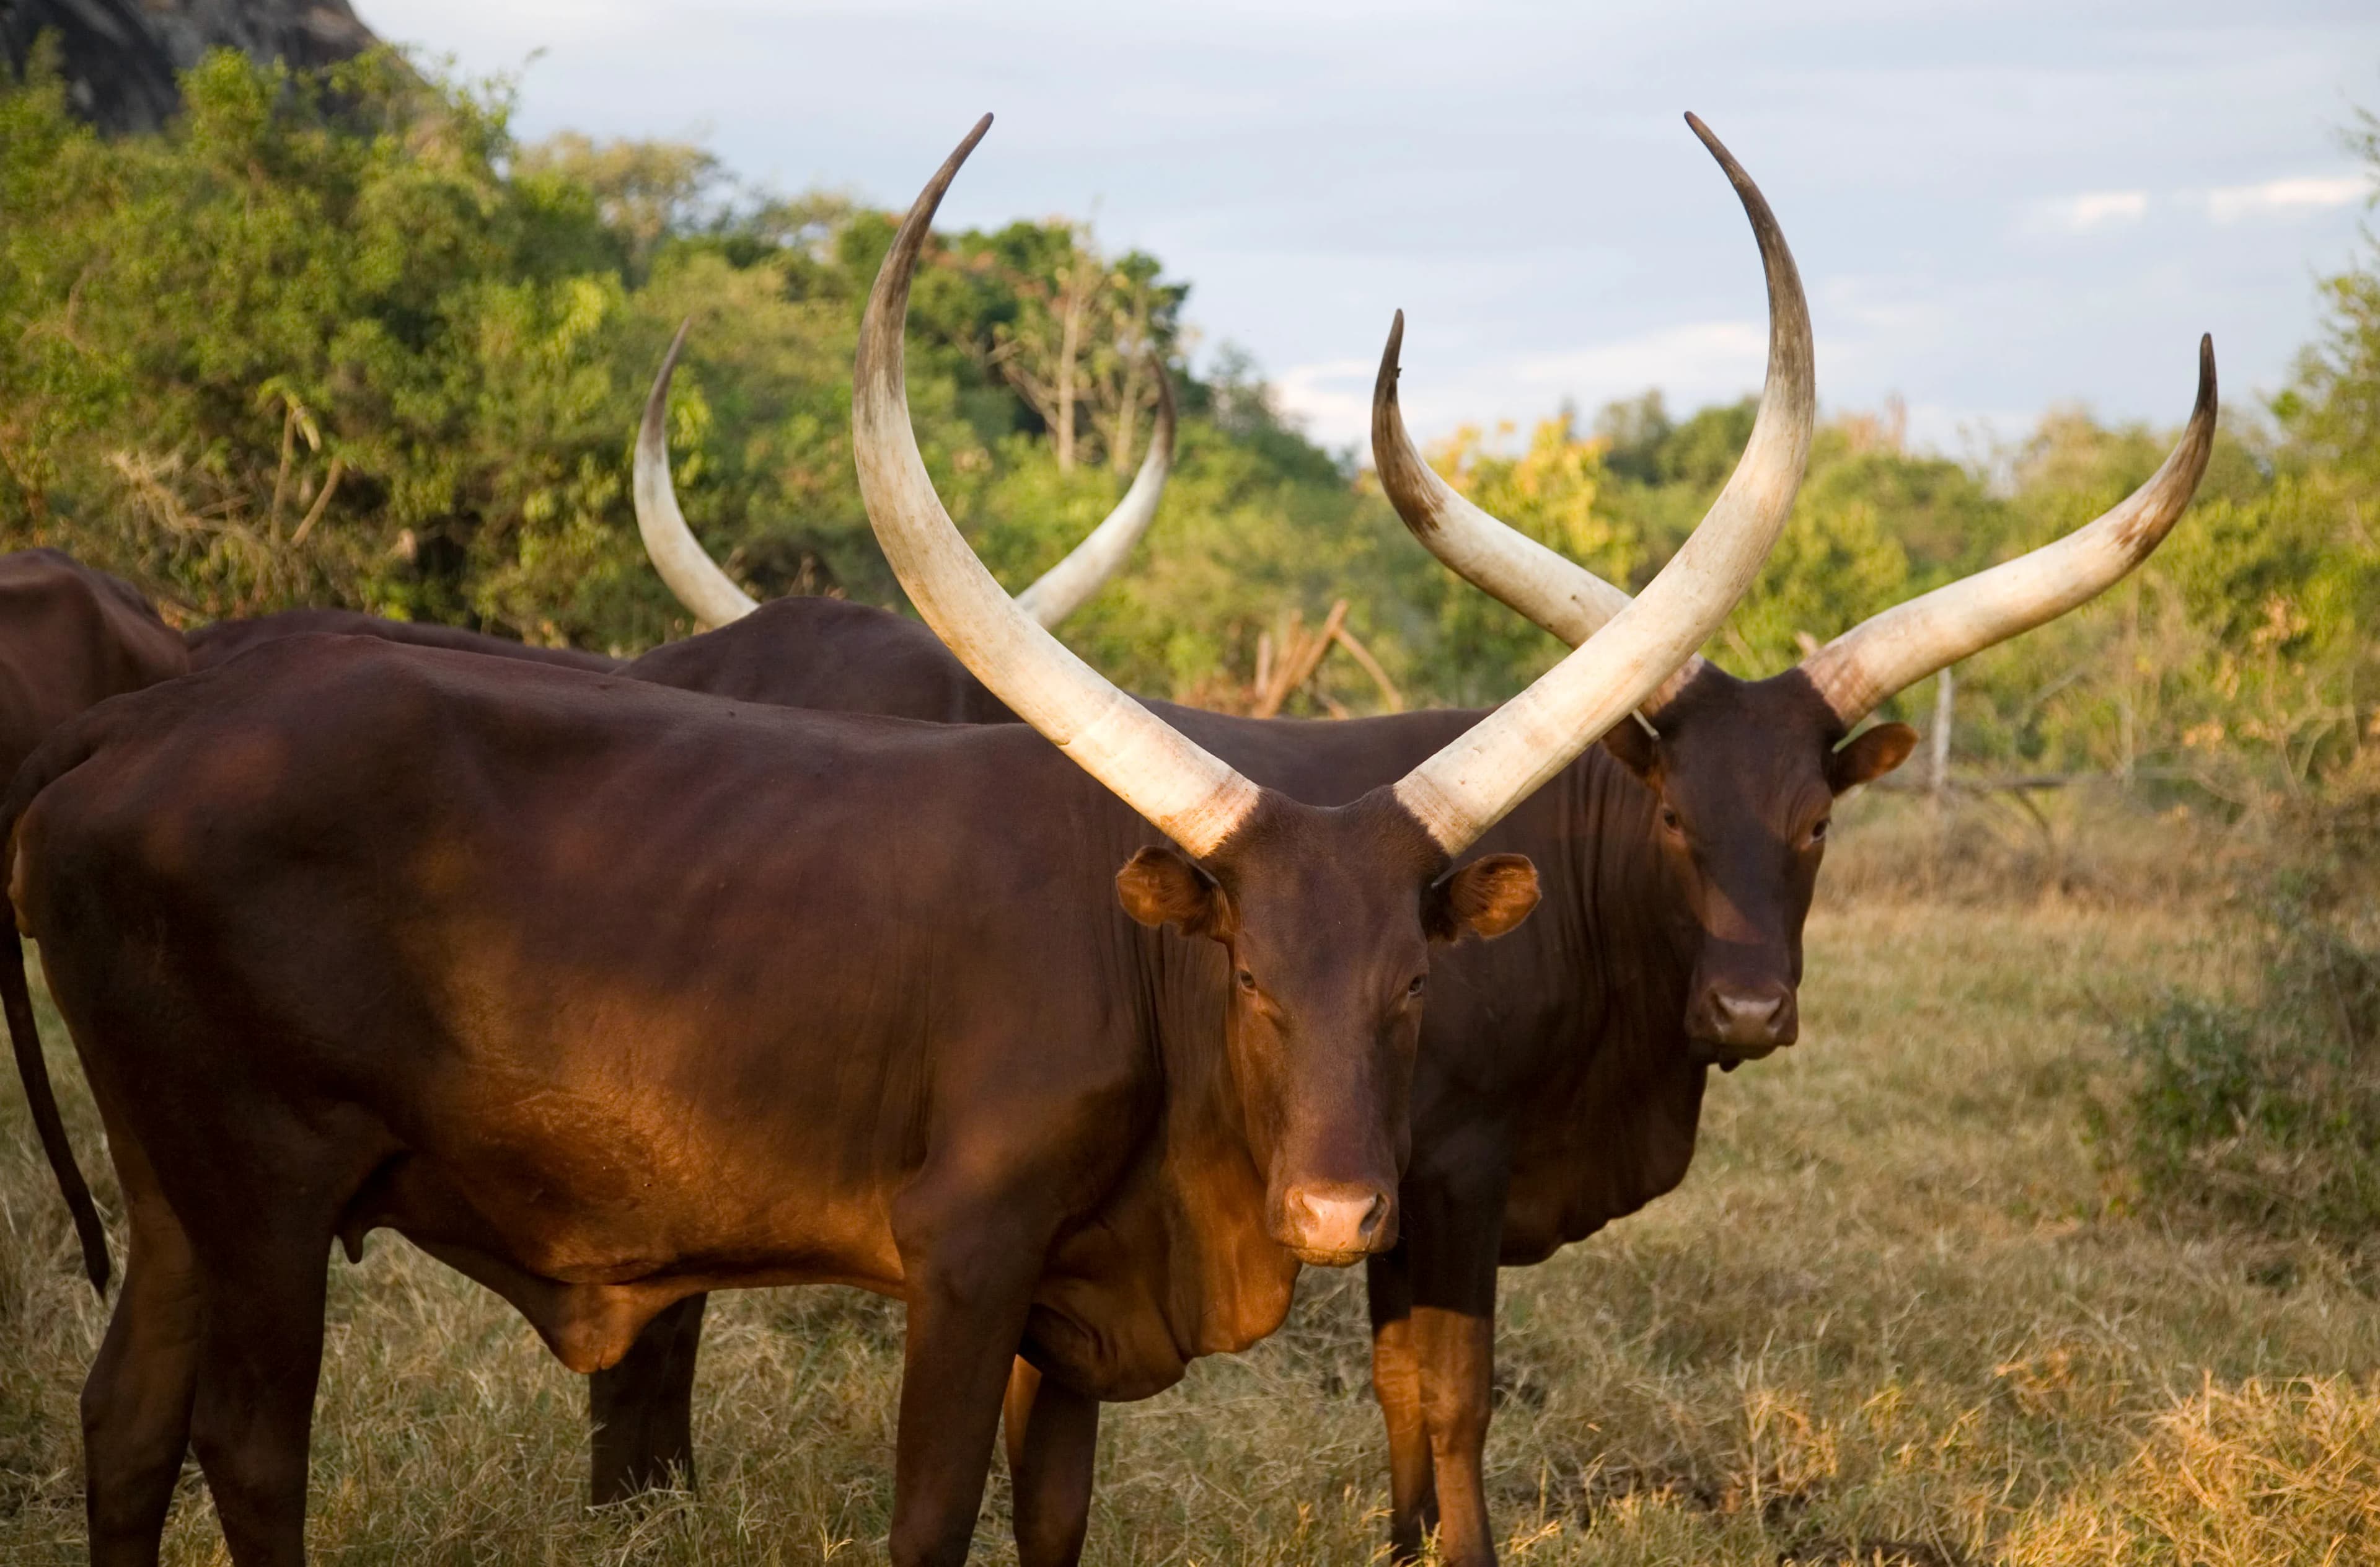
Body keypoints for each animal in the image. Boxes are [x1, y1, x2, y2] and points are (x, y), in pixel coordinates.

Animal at [2, 115, 1798, 1567]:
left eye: (1411, 991)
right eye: (1256, 983)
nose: (1346, 1215)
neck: (1138, 969)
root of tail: (145, 727)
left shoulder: (1070, 1313)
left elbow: (1056, 1520)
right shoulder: (965, 1260)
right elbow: (934, 1520)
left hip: (173, 1192)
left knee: (125, 1419)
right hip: (264, 1187)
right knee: (249, 1450)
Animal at [609, 124, 2218, 1566]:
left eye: (1817, 823)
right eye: (1676, 817)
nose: (1750, 1006)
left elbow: (1399, 1395)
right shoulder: (1441, 1169)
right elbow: (1446, 1394)